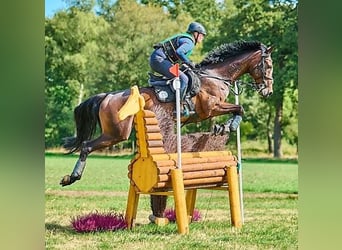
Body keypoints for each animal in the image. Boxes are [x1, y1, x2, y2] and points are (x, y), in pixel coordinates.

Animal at [58, 39, 272, 215]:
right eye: (268, 66)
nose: (268, 92)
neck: (215, 76)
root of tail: (108, 96)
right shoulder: (211, 108)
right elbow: (240, 108)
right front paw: (227, 126)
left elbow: (238, 109)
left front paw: (223, 127)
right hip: (116, 133)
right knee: (86, 146)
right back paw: (71, 177)